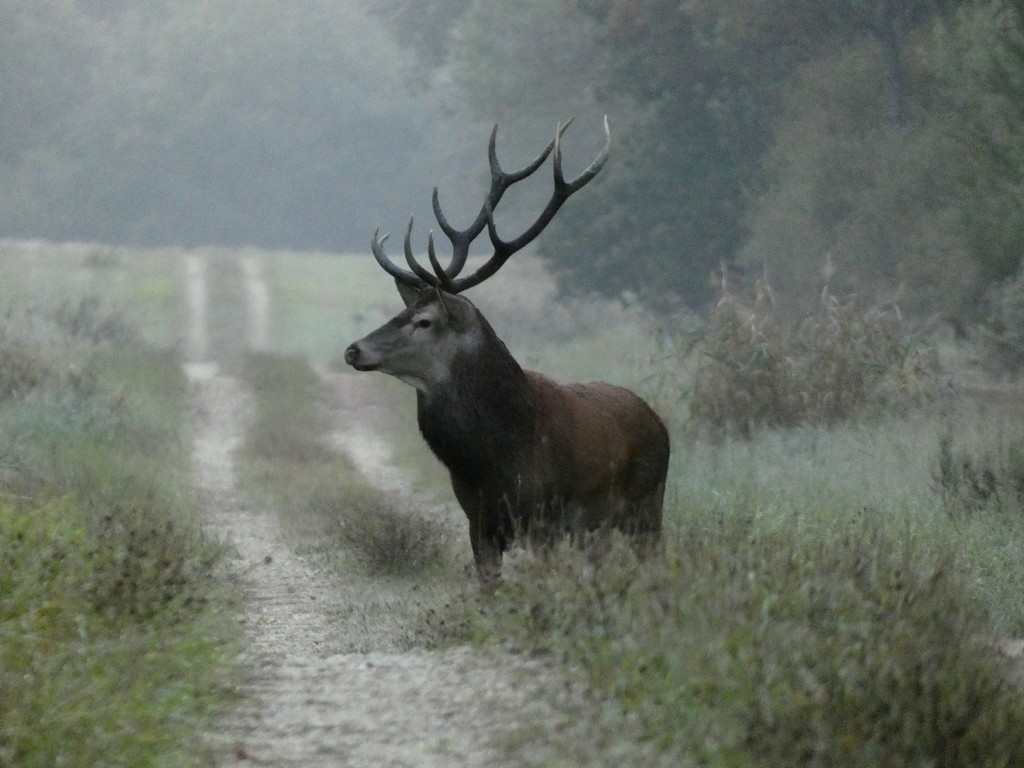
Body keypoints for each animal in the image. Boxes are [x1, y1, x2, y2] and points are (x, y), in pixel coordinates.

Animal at [344, 118, 670, 582]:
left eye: (425, 321)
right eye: (400, 310)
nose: (354, 350)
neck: (492, 461)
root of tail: (658, 421)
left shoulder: (548, 518)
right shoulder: (478, 520)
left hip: (646, 506)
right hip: (601, 529)